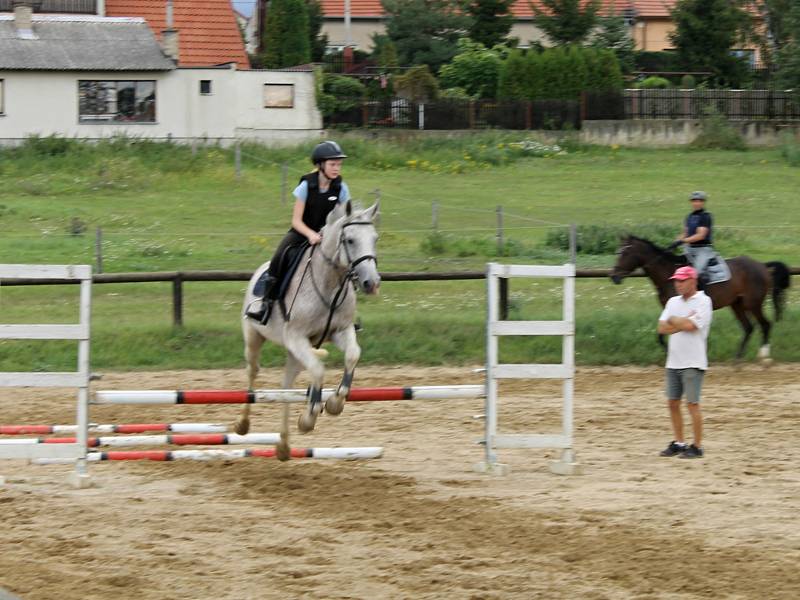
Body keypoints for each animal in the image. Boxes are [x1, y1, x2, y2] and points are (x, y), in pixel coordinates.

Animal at [238, 200, 382, 460]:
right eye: (350, 240)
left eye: (375, 238)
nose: (372, 283)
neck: (330, 284)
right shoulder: (296, 338)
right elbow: (317, 369)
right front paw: (310, 416)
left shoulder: (340, 330)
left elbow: (352, 355)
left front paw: (335, 403)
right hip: (255, 339)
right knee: (252, 373)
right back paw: (243, 425)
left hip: (296, 353)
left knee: (286, 385)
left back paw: (283, 447)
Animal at [612, 236, 788, 360]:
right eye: (617, 253)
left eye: (625, 253)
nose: (613, 276)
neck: (669, 275)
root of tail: (761, 265)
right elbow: (661, 336)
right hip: (737, 304)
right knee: (749, 328)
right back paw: (737, 359)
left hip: (753, 304)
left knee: (765, 325)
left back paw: (764, 356)